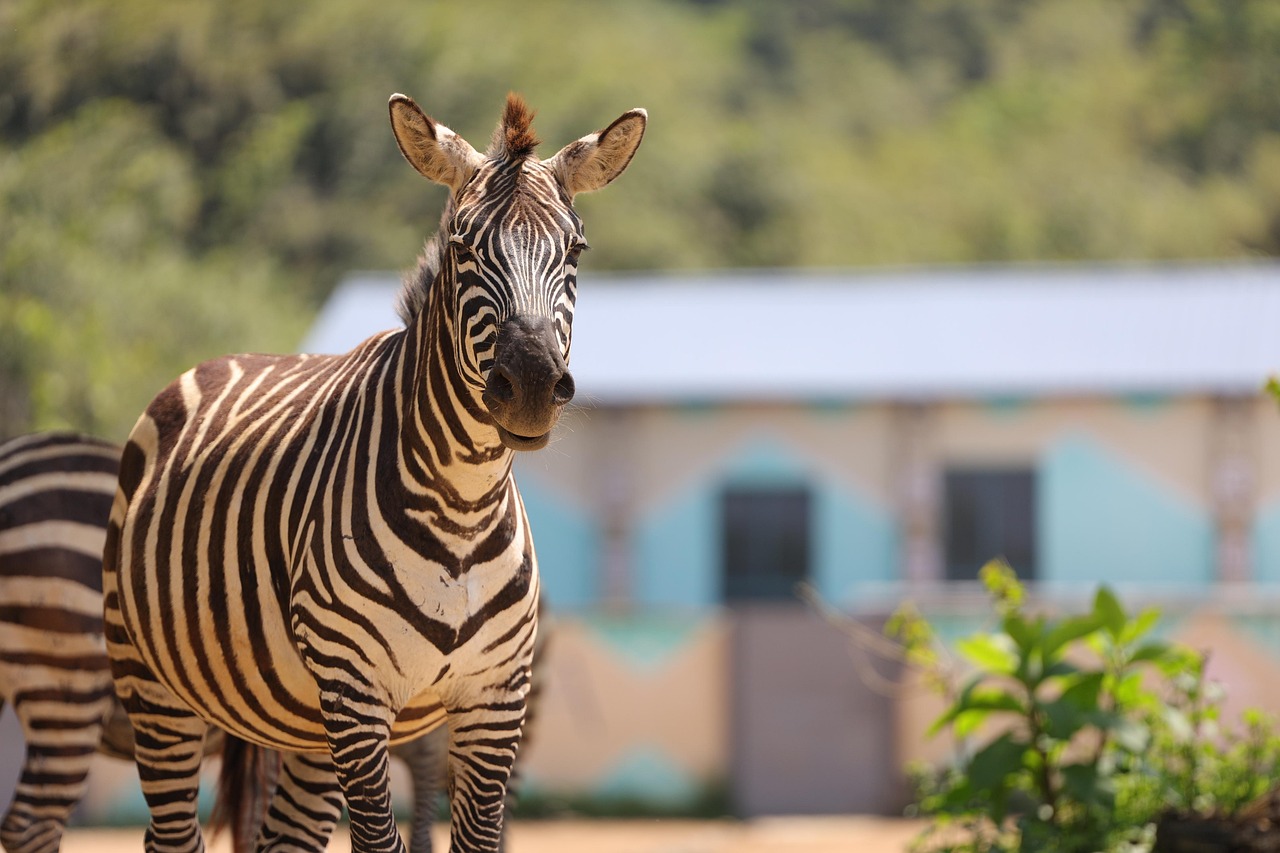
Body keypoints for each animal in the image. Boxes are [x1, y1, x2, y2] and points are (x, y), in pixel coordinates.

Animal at [103, 92, 645, 853]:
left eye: (576, 251)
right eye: (462, 247)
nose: (533, 385)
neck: (463, 505)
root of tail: (219, 360)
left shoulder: (495, 700)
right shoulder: (356, 694)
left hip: (299, 720)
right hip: (155, 685)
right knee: (173, 832)